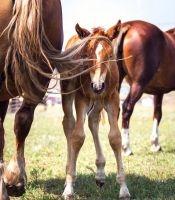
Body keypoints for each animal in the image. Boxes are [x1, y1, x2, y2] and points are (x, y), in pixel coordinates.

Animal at [60, 24, 131, 200]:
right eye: (86, 55)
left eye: (110, 55)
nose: (97, 85)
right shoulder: (82, 98)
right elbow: (77, 137)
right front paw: (69, 187)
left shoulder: (112, 98)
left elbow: (115, 138)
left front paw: (124, 189)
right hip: (68, 91)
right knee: (69, 124)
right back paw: (69, 174)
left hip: (99, 100)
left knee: (93, 121)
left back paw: (100, 173)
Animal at [110, 19, 175, 155]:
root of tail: (127, 26)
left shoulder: (159, 91)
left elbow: (157, 113)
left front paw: (155, 144)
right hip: (138, 85)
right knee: (127, 108)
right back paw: (126, 147)